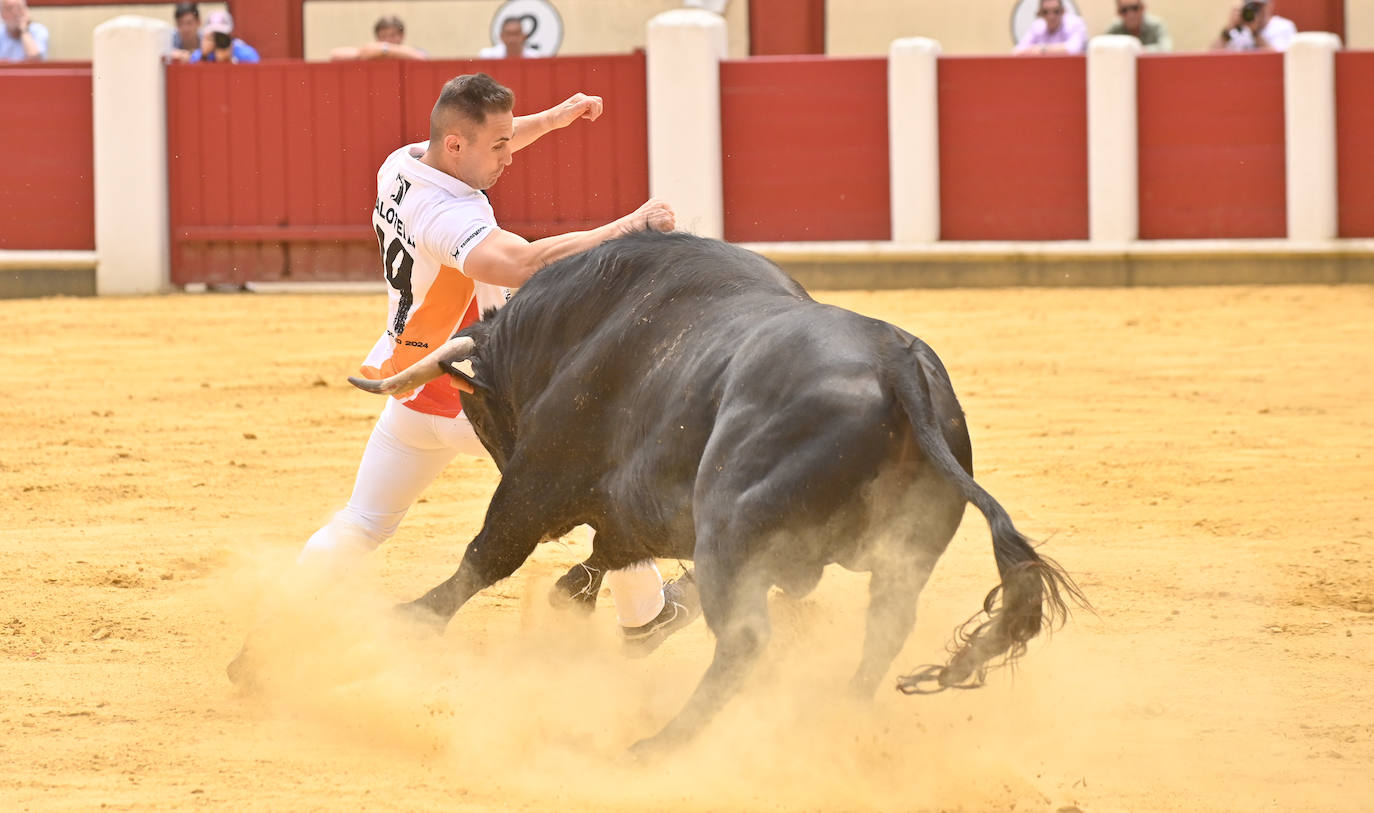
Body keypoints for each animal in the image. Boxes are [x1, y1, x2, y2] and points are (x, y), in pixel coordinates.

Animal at [351, 227, 1082, 758]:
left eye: (477, 410)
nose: (498, 441)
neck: (586, 323)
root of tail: (895, 365)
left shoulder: (541, 478)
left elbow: (490, 554)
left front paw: (412, 616)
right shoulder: (642, 506)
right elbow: (607, 555)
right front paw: (588, 603)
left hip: (732, 527)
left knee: (745, 640)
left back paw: (659, 744)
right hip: (898, 555)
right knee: (883, 631)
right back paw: (836, 715)